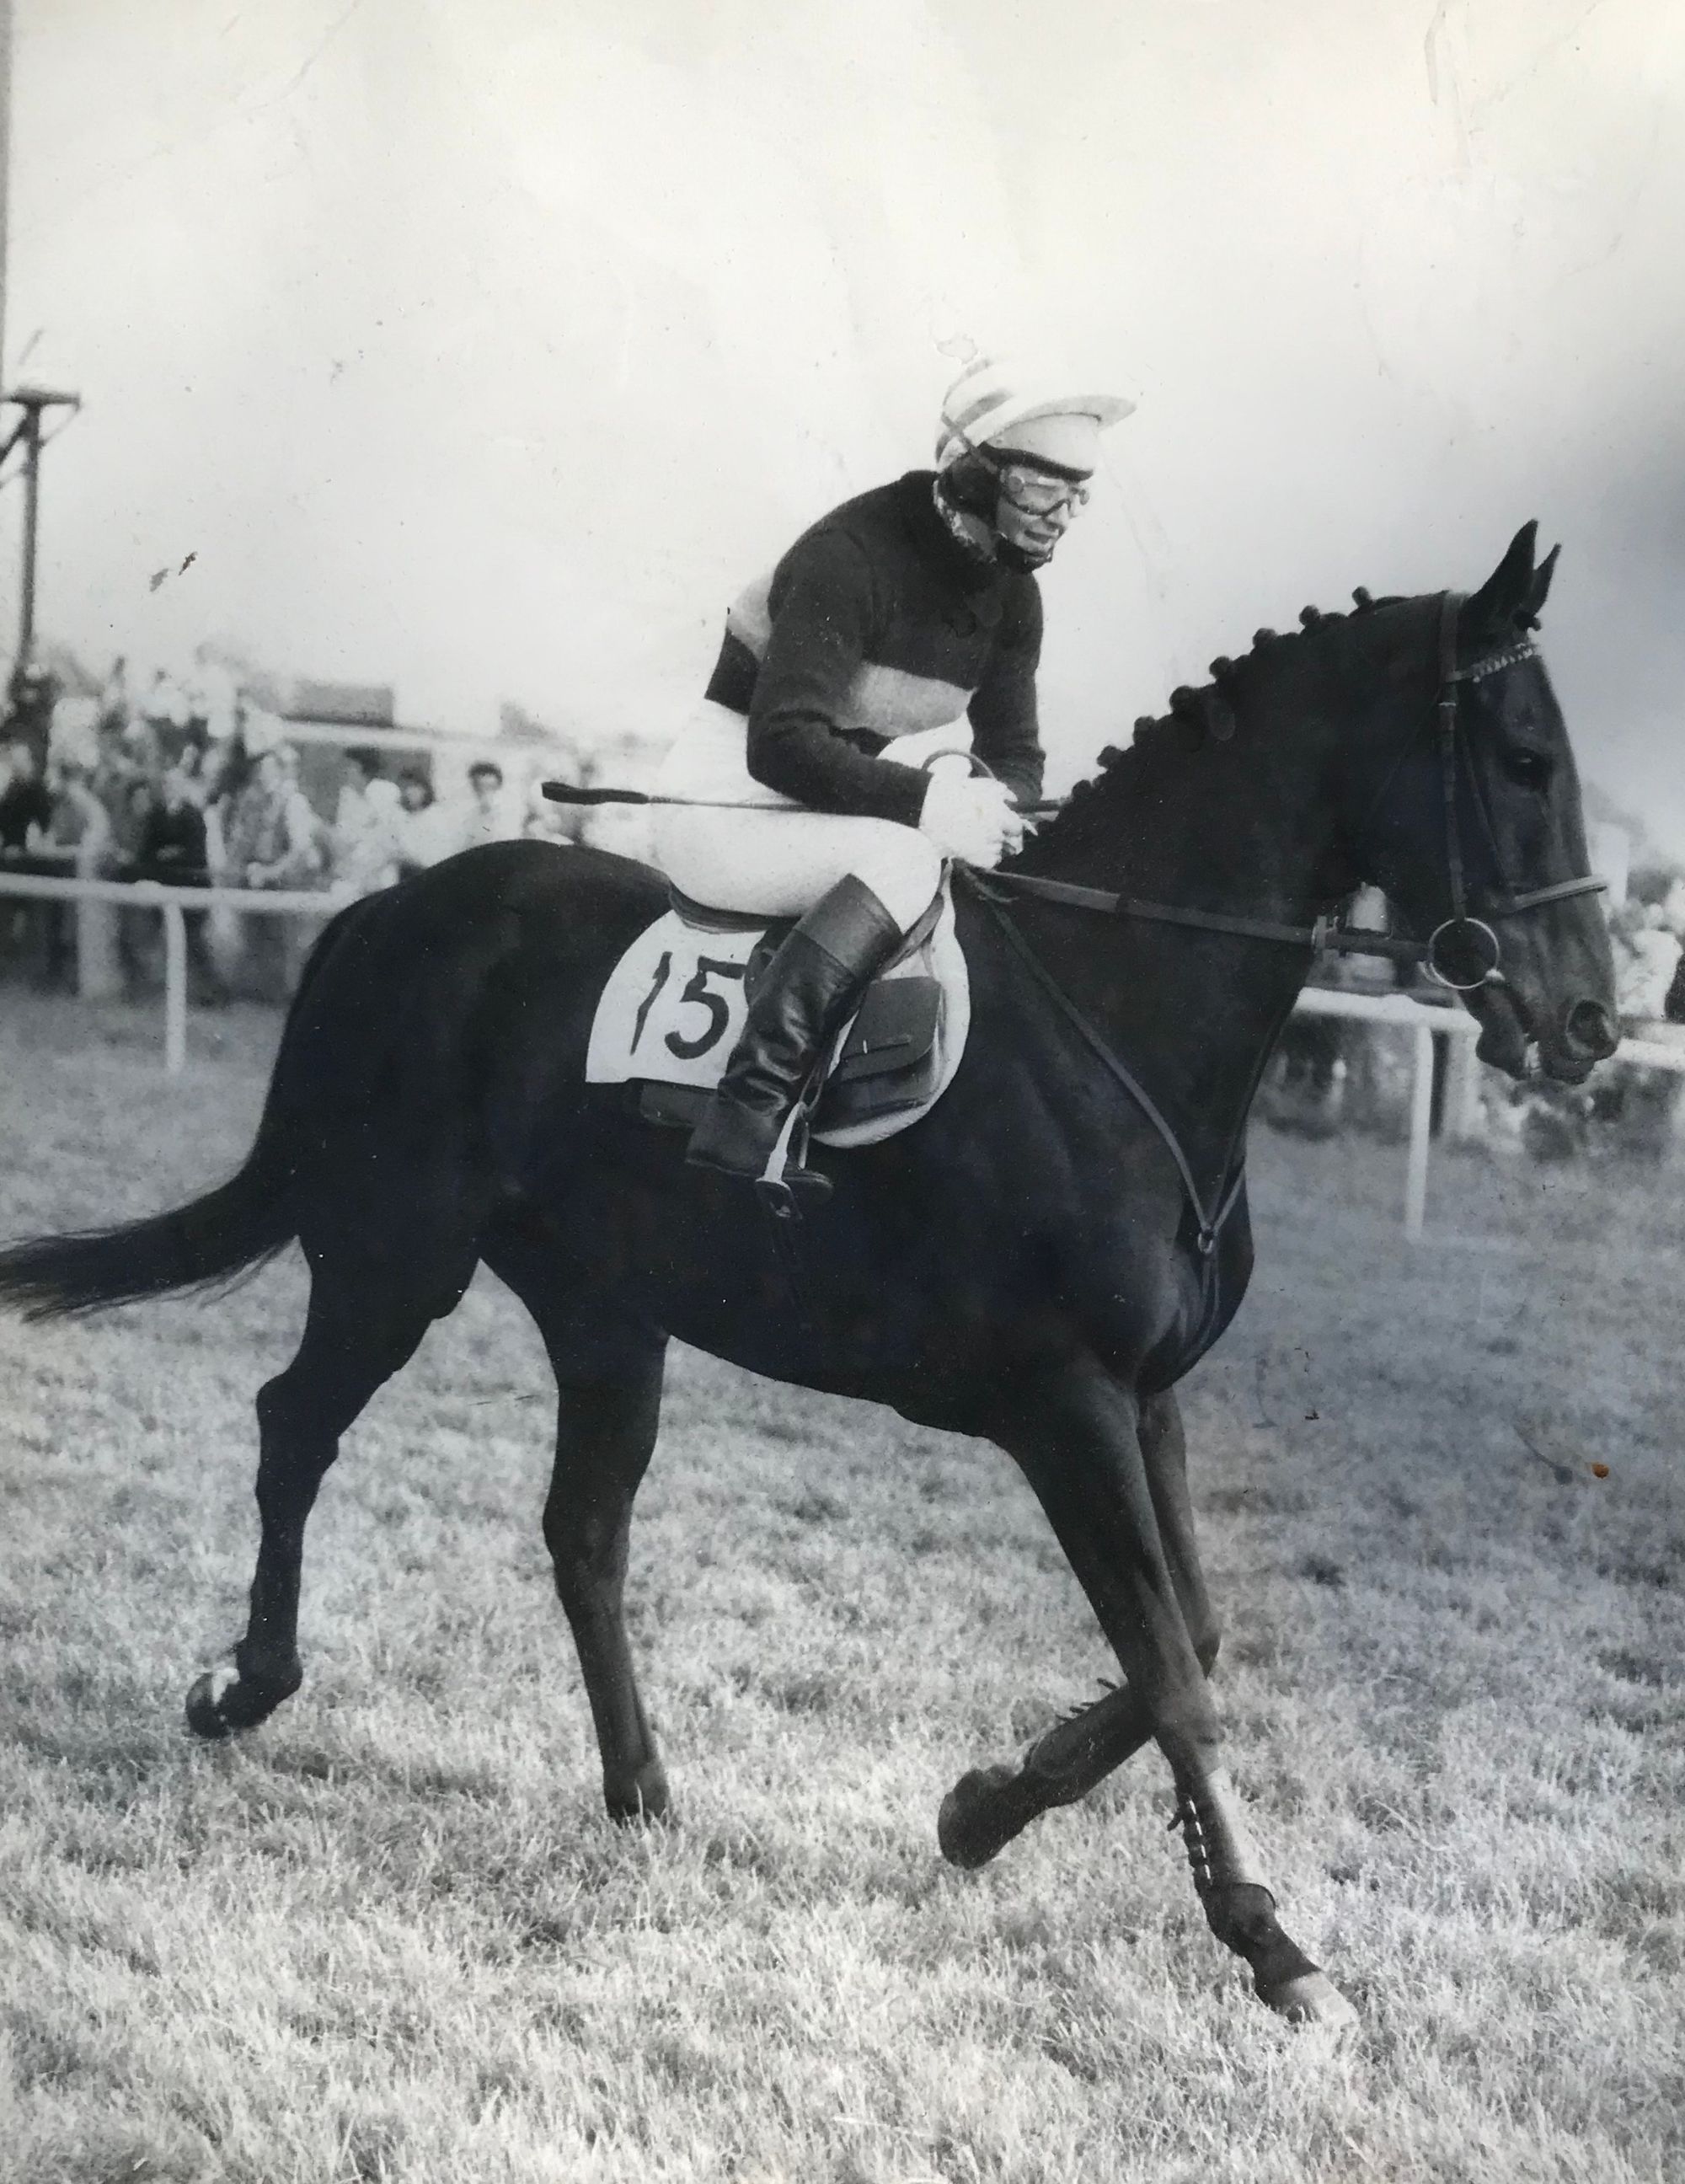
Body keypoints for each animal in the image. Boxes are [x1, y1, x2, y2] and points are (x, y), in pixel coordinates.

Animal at [0, 524, 1616, 2033]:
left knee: (583, 1530)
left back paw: (642, 1790)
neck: (1118, 1014)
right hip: (395, 1257)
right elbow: (1171, 1667)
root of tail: (387, 910)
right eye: (1526, 759)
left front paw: (985, 1804)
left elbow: (1195, 1637)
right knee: (296, 1428)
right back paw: (247, 1682)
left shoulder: (1146, 1396)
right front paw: (1272, 1942)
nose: (1592, 1023)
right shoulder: (1067, 1405)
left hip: (607, 1312)